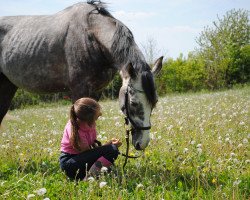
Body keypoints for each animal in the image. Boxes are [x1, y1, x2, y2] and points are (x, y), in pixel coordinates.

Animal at [0, 0, 162, 150]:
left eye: (155, 102)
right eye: (133, 103)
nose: (142, 143)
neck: (91, 35)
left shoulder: (96, 91)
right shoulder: (79, 89)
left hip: (7, 86)